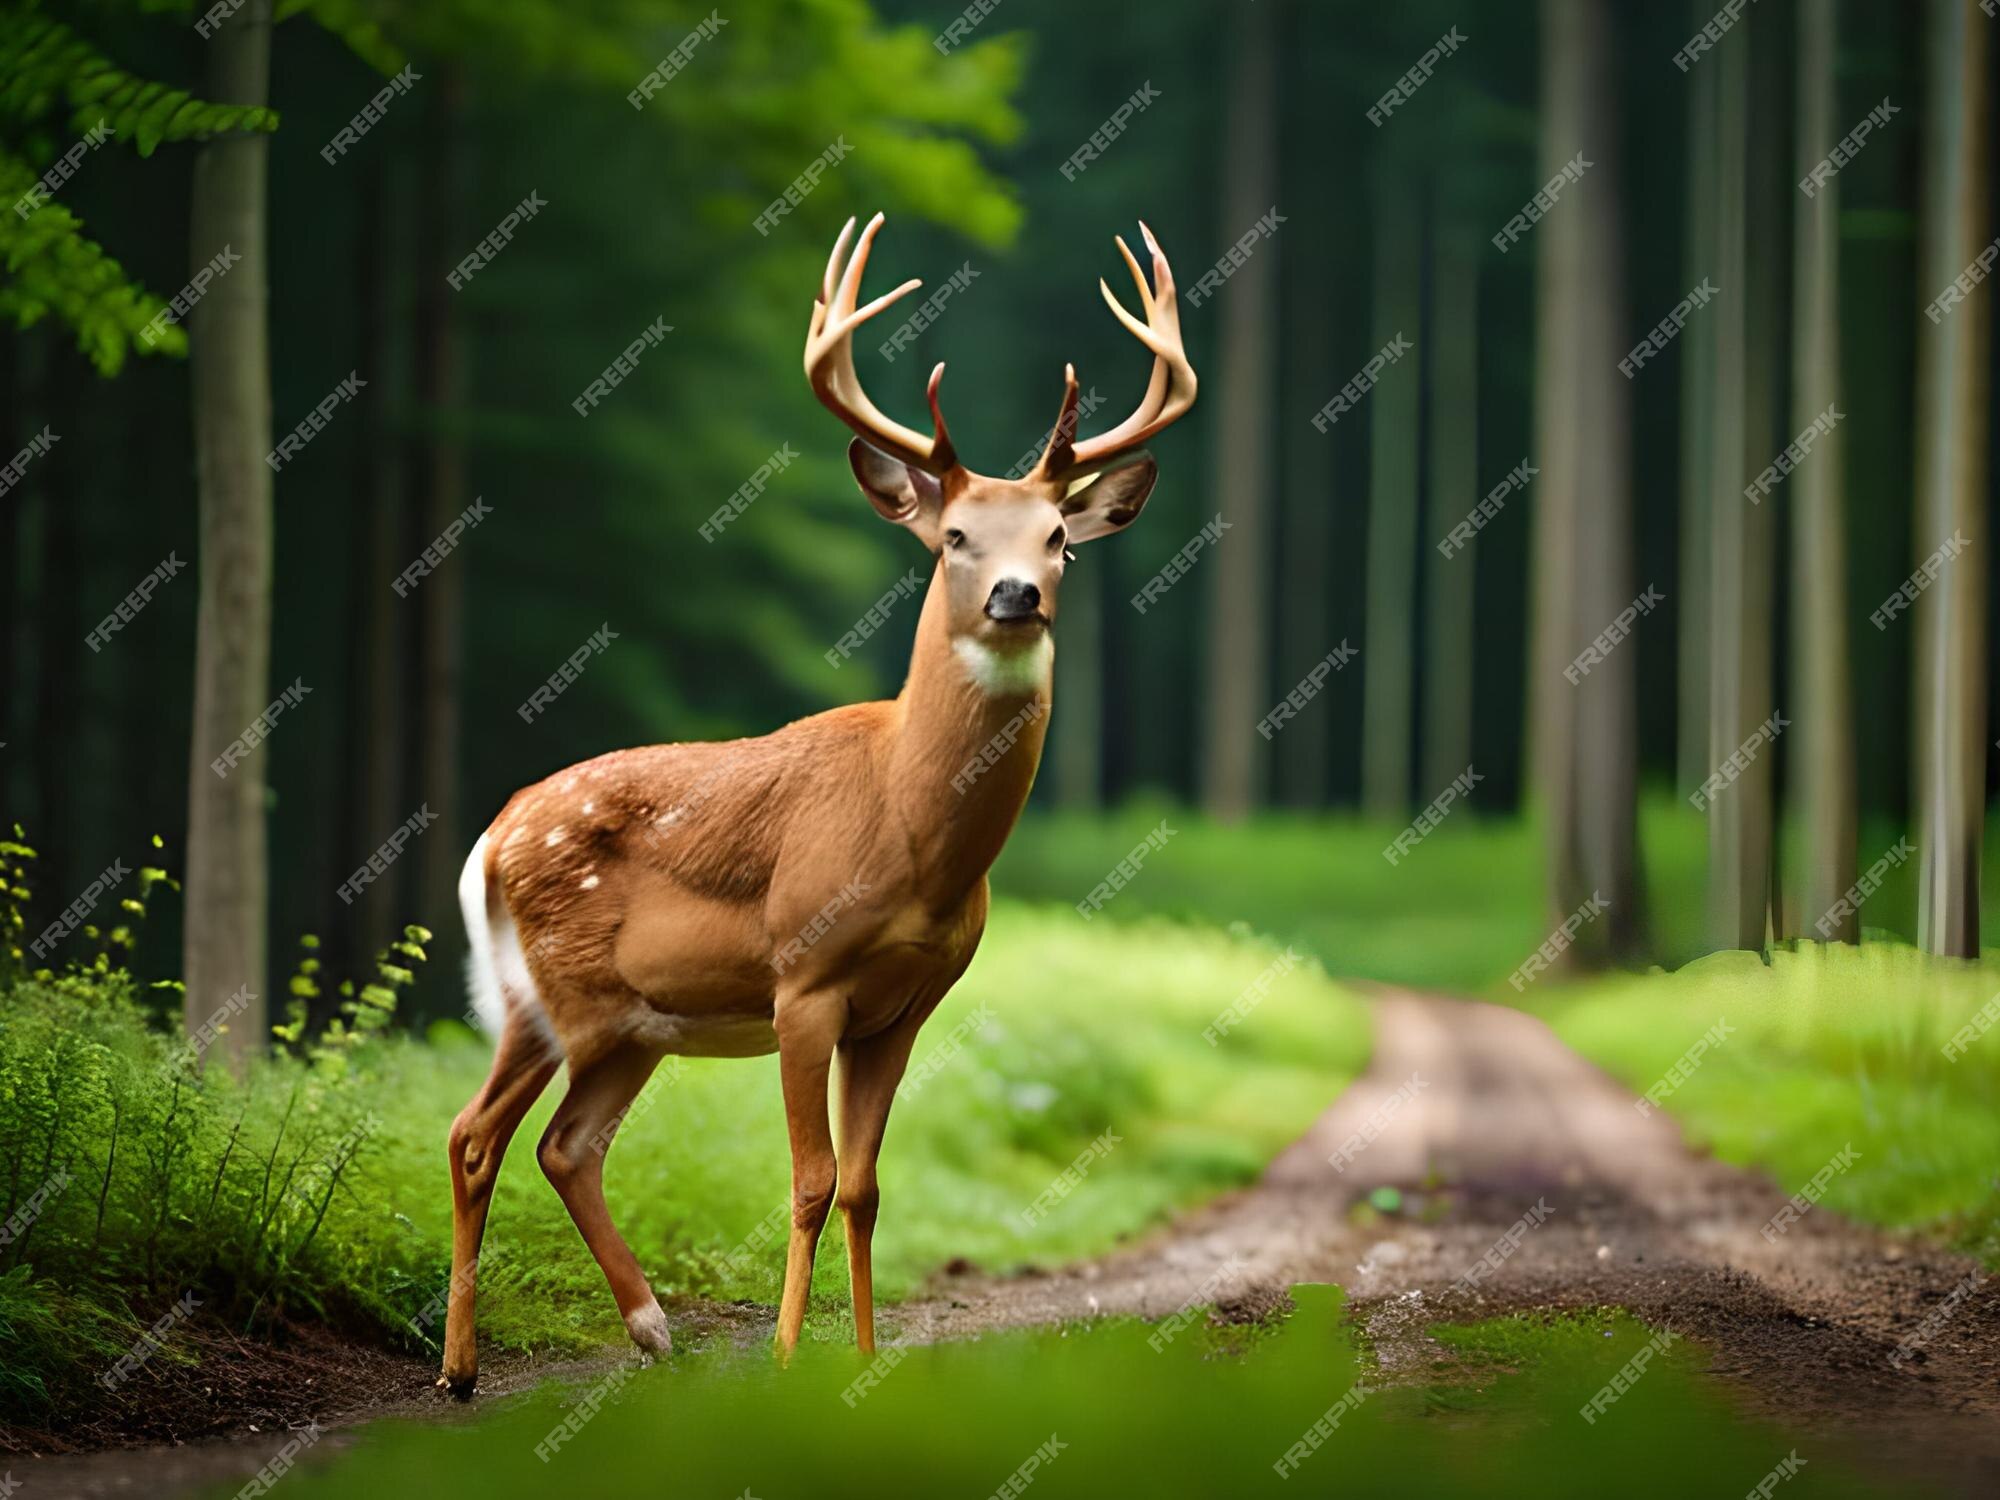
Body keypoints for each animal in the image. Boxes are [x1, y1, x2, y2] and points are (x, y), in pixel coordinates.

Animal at [442, 212, 1184, 1400]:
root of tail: (490, 838)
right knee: (476, 1134)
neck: (913, 836)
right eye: (956, 537)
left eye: (1059, 539)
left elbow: (865, 1185)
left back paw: (651, 1329)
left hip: (631, 1024)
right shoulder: (804, 975)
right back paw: (461, 1370)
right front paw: (792, 1360)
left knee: (566, 1144)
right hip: (548, 996)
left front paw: (868, 1361)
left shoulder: (908, 1003)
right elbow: (807, 1178)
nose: (1016, 595)